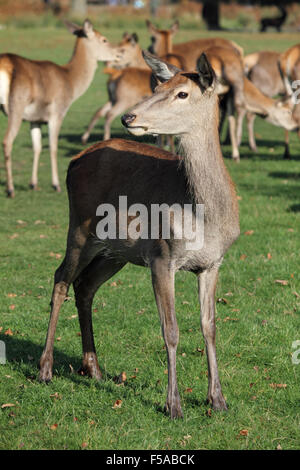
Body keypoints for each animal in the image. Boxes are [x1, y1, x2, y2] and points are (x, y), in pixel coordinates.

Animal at [0, 18, 122, 196]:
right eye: (104, 39)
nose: (120, 53)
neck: (70, 82)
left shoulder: (35, 119)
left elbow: (37, 147)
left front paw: (33, 184)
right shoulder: (57, 113)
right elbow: (53, 147)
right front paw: (56, 185)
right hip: (16, 106)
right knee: (7, 141)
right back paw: (10, 189)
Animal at [39, 51, 241, 418]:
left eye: (182, 93)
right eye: (158, 86)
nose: (128, 116)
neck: (206, 216)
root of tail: (73, 161)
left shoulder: (213, 263)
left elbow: (210, 326)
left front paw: (217, 400)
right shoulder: (162, 255)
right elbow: (170, 329)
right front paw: (174, 404)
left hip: (115, 251)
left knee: (85, 285)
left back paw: (94, 367)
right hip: (79, 227)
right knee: (61, 278)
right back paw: (45, 369)